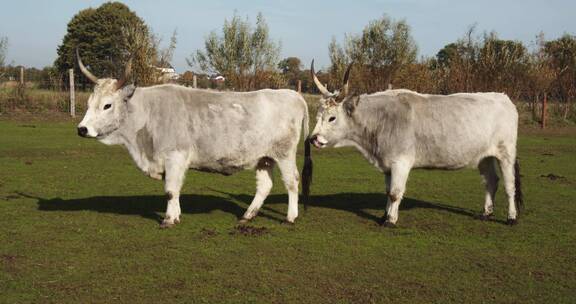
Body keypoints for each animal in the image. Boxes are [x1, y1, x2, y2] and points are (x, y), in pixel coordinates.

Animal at [76, 51, 312, 228]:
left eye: (107, 105)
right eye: (89, 103)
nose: (82, 129)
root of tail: (293, 94)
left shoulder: (175, 156)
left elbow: (170, 190)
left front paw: (168, 219)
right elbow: (175, 189)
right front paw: (176, 215)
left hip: (284, 154)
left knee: (292, 181)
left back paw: (290, 217)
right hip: (264, 158)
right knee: (265, 185)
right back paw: (248, 215)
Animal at [310, 61, 520, 227]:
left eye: (332, 118)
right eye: (318, 115)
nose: (314, 139)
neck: (381, 119)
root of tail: (502, 97)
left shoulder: (401, 163)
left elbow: (395, 193)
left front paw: (390, 221)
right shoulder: (388, 165)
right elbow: (388, 191)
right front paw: (384, 215)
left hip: (506, 153)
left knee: (510, 186)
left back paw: (511, 217)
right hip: (484, 157)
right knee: (491, 182)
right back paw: (486, 213)